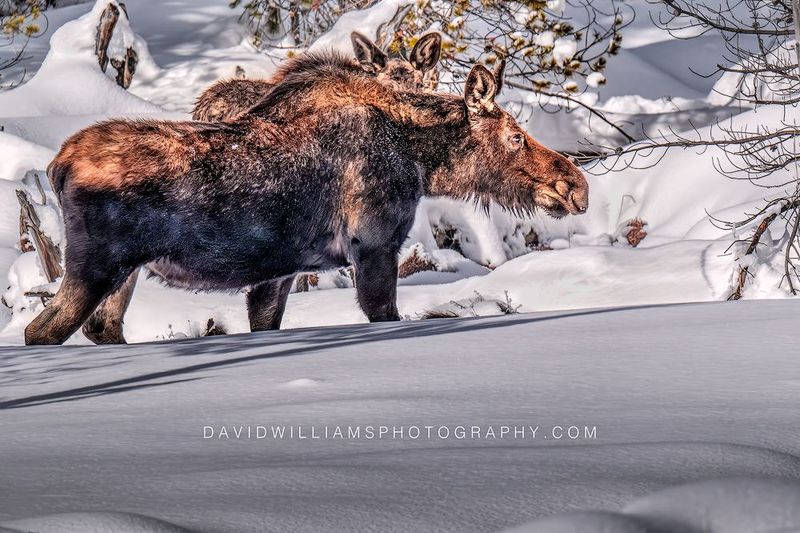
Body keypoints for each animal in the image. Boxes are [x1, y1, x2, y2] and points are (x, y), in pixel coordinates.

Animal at [26, 52, 588, 345]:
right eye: (514, 137)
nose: (576, 186)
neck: (420, 158)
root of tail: (56, 166)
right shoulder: (375, 244)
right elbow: (383, 313)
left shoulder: (279, 272)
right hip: (96, 264)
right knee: (41, 331)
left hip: (123, 272)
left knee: (100, 329)